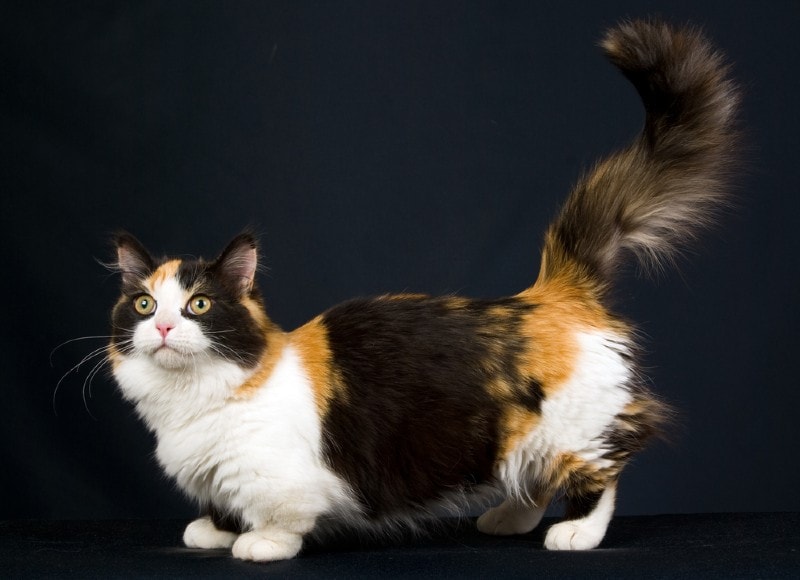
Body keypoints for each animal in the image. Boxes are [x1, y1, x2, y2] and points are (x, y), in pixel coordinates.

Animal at [106, 19, 736, 560]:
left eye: (199, 305)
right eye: (144, 304)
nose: (164, 325)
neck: (191, 402)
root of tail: (550, 292)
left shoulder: (279, 478)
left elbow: (279, 518)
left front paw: (258, 543)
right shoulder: (216, 474)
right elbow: (223, 504)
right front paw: (214, 529)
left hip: (572, 426)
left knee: (603, 471)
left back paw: (577, 532)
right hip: (519, 436)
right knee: (533, 480)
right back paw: (508, 520)